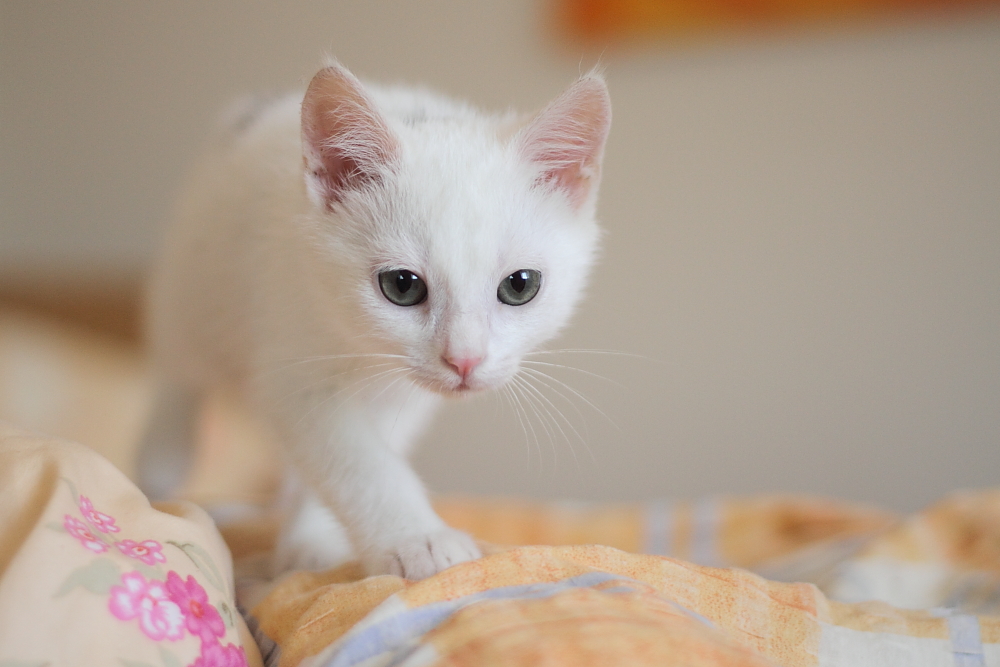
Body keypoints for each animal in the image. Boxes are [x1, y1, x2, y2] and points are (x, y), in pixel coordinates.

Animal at [140, 65, 608, 580]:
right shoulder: (293, 350)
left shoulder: (402, 397)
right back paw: (158, 471)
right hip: (192, 293)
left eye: (520, 286)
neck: (361, 349)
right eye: (402, 286)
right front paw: (417, 540)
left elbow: (367, 448)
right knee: (180, 374)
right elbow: (357, 461)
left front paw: (313, 539)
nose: (464, 360)